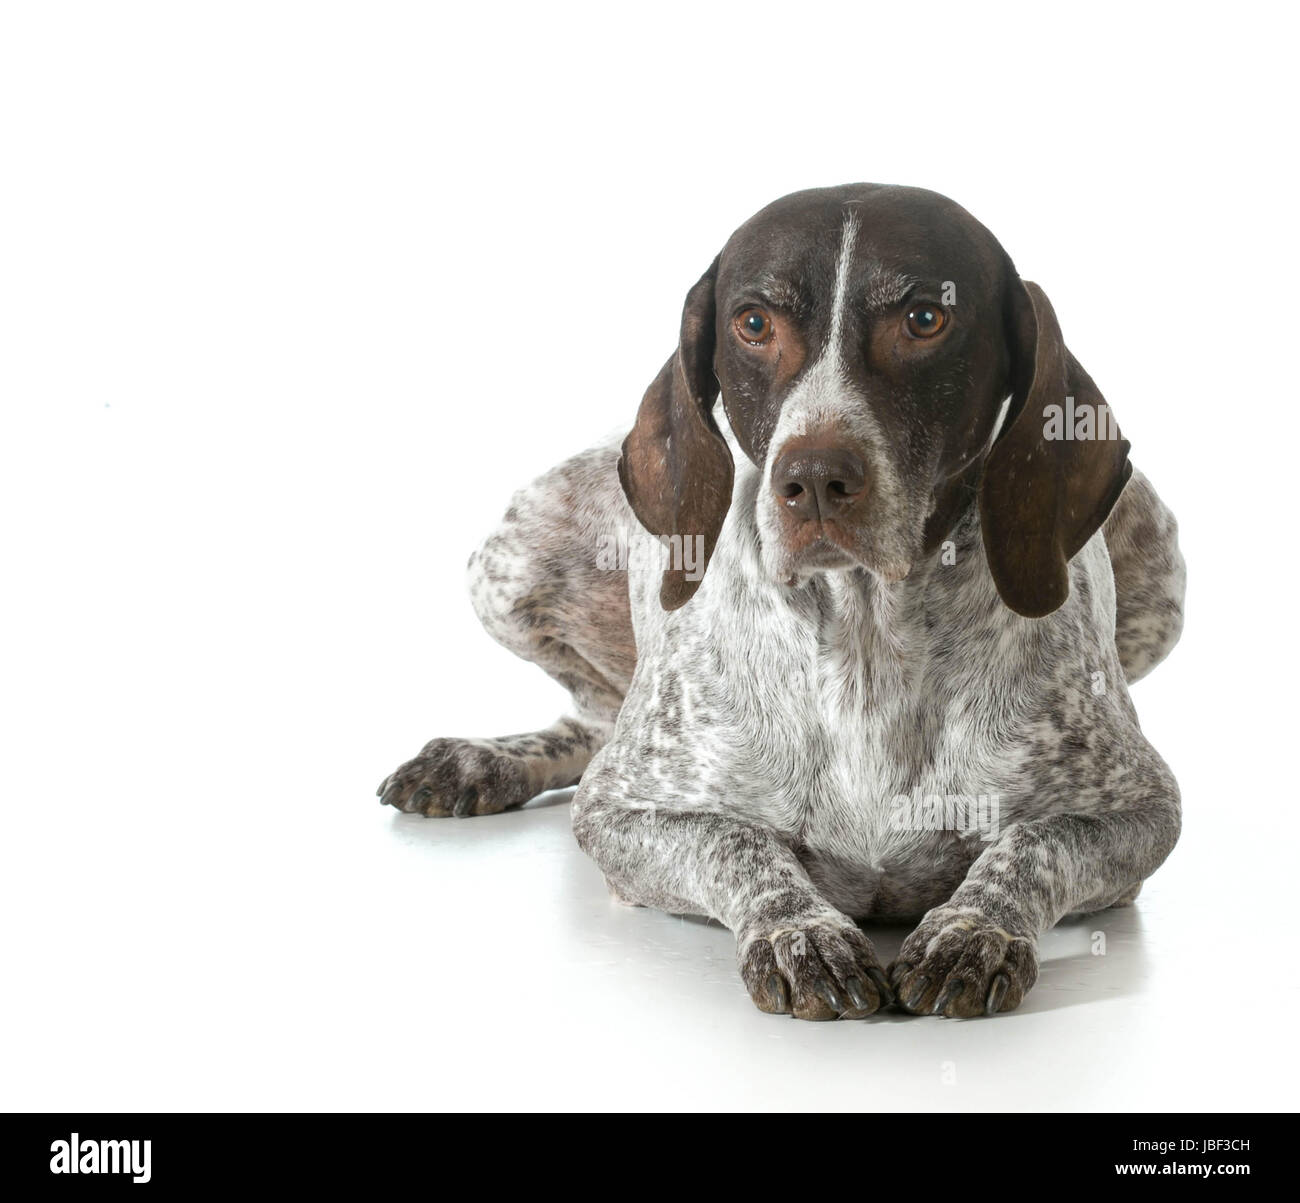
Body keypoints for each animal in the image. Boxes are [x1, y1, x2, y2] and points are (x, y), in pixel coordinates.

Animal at [379, 183, 1190, 1019]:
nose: (815, 478)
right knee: (594, 719)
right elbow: (737, 842)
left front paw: (975, 928)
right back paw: (480, 760)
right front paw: (801, 933)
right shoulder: (620, 809)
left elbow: (1031, 844)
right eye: (753, 323)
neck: (868, 637)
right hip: (507, 561)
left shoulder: (1142, 807)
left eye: (924, 319)